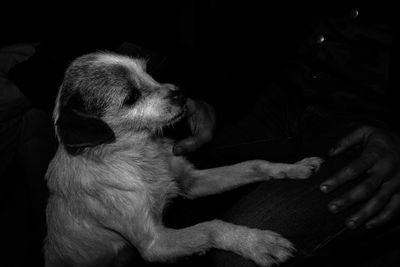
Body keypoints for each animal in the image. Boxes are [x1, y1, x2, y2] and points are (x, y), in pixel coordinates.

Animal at [44, 51, 324, 266]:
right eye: (131, 97)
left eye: (147, 72)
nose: (181, 93)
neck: (138, 156)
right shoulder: (155, 243)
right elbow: (210, 227)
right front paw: (258, 243)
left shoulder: (191, 182)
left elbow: (254, 164)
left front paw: (293, 168)